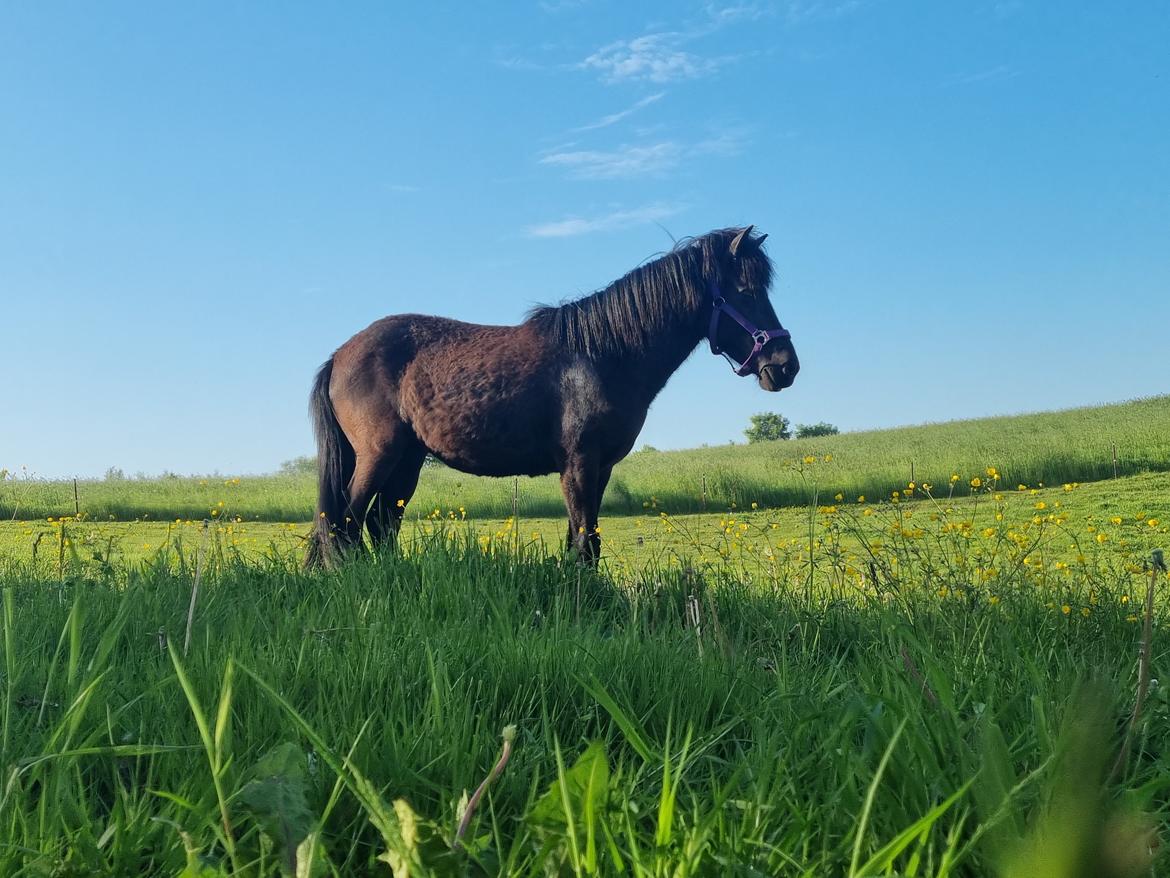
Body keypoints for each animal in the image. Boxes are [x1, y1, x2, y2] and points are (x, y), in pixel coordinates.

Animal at [301, 227, 800, 571]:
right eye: (746, 292)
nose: (785, 365)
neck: (603, 355)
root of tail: (340, 355)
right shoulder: (579, 462)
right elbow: (584, 540)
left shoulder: (601, 467)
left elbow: (583, 537)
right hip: (378, 455)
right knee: (344, 521)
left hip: (407, 461)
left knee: (378, 523)